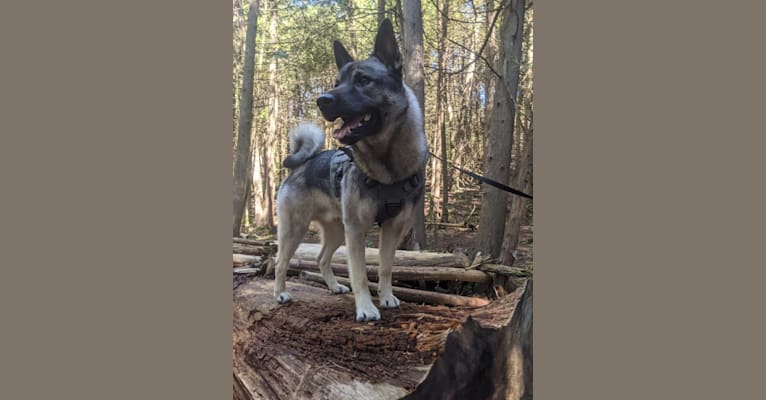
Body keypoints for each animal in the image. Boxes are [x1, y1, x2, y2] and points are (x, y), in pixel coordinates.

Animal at [272, 20, 428, 324]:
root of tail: (302, 165)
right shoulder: (356, 229)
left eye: (363, 80)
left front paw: (387, 297)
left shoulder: (392, 228)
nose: (322, 100)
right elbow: (360, 274)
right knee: (280, 261)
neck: (387, 166)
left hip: (336, 230)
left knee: (321, 258)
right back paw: (280, 293)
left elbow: (385, 267)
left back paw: (333, 286)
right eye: (337, 83)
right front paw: (366, 308)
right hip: (295, 229)